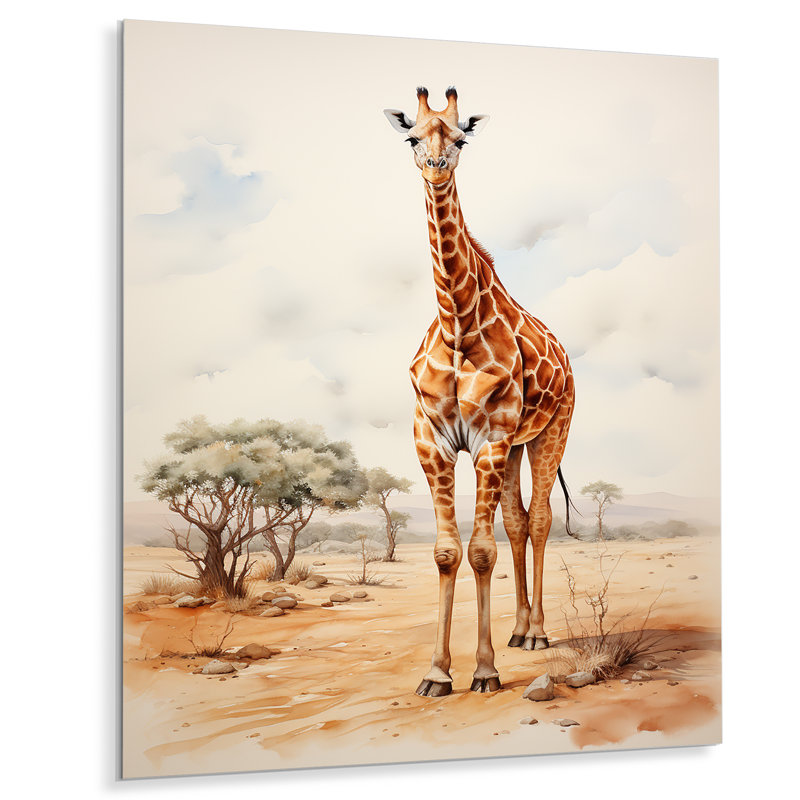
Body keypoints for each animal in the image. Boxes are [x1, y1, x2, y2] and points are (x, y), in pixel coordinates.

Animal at [384, 87, 576, 696]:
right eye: (412, 137)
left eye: (461, 138)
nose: (436, 166)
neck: (457, 322)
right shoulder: (434, 441)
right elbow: (449, 552)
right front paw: (437, 674)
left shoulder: (489, 438)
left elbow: (482, 551)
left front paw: (485, 671)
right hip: (515, 444)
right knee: (517, 519)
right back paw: (518, 631)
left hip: (550, 432)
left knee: (538, 520)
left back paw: (536, 634)